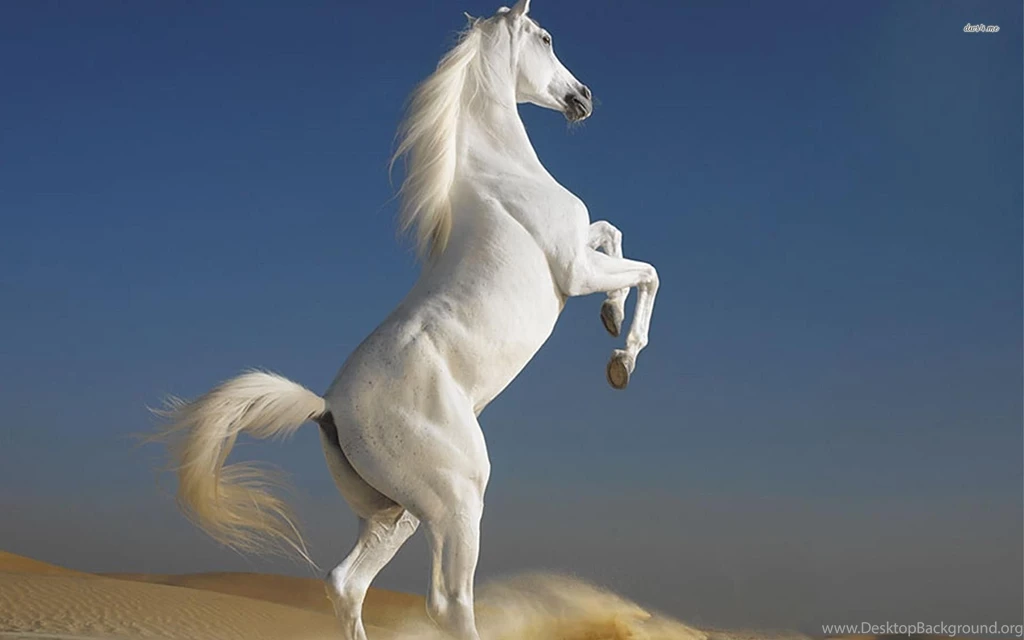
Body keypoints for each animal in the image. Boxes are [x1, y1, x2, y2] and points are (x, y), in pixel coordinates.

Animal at [155, 1, 659, 638]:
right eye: (545, 37)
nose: (583, 97)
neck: (502, 175)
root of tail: (327, 409)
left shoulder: (582, 253)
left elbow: (612, 234)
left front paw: (610, 319)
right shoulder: (573, 269)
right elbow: (646, 270)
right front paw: (623, 358)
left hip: (399, 514)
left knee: (347, 584)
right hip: (458, 500)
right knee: (447, 601)